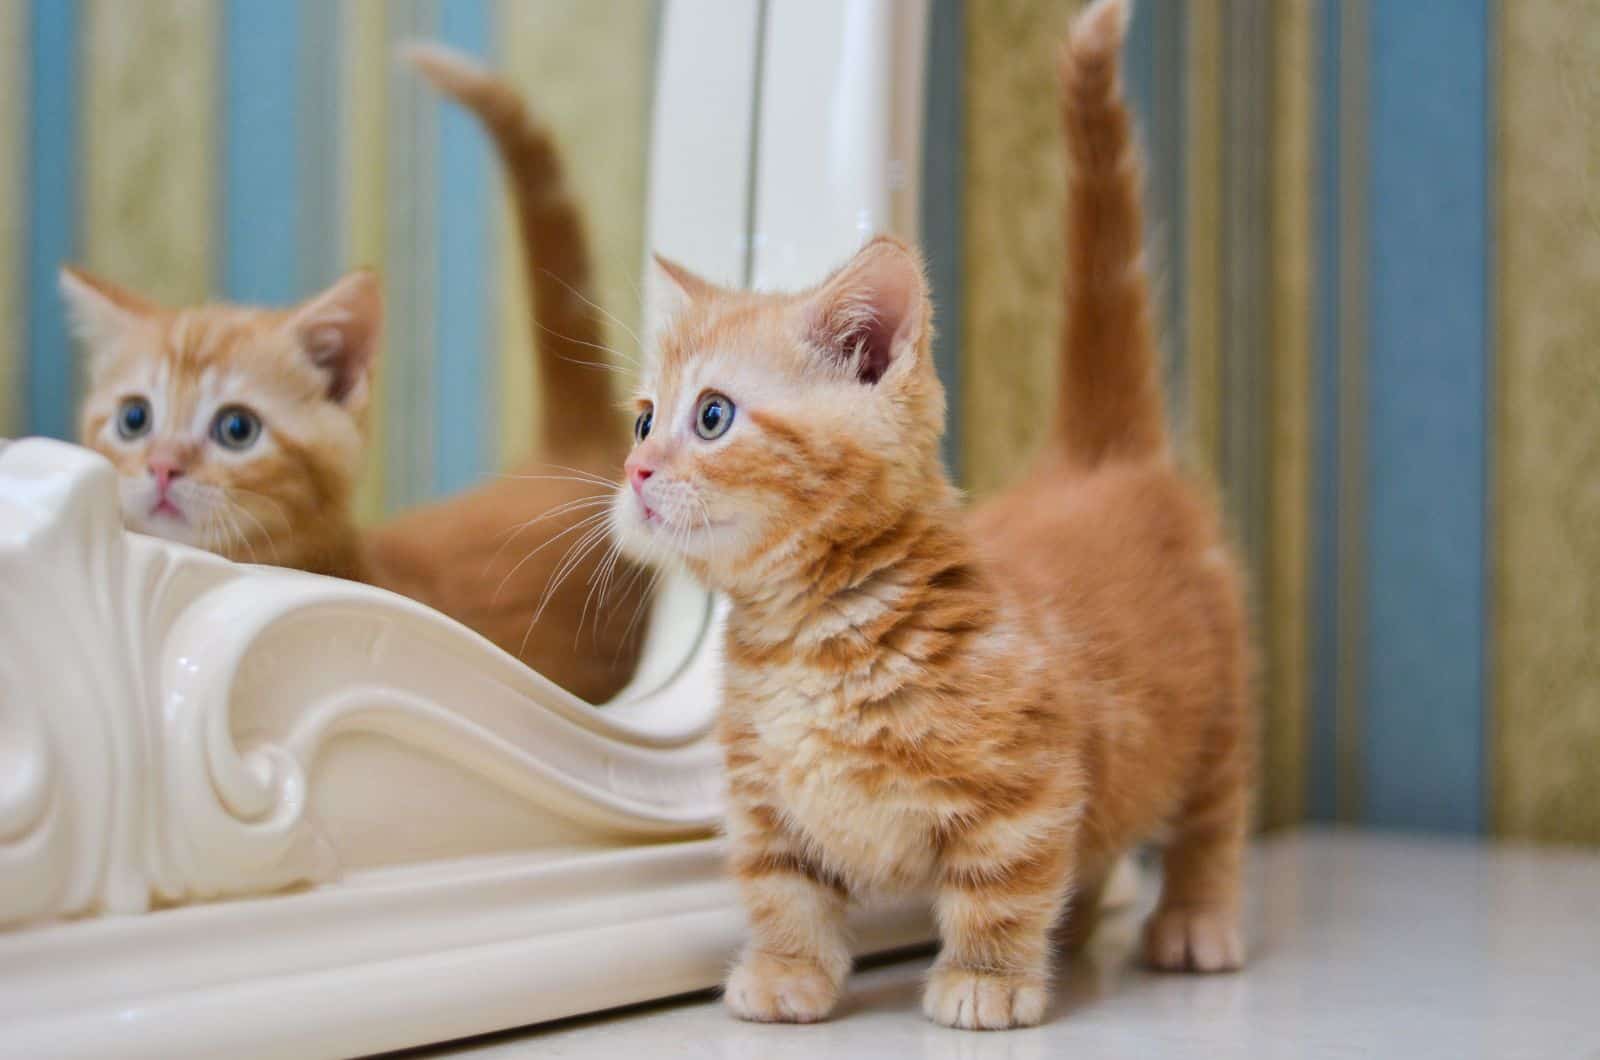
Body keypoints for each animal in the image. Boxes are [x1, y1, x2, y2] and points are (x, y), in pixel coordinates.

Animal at [611, 0, 1248, 1031]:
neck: (806, 639)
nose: (634, 468)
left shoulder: (1026, 786)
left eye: (710, 417)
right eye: (640, 418)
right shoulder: (763, 799)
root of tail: (1098, 459)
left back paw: (1196, 921)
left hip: (1219, 705)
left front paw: (987, 981)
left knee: (1213, 815)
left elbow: (1003, 885)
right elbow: (781, 886)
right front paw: (787, 972)